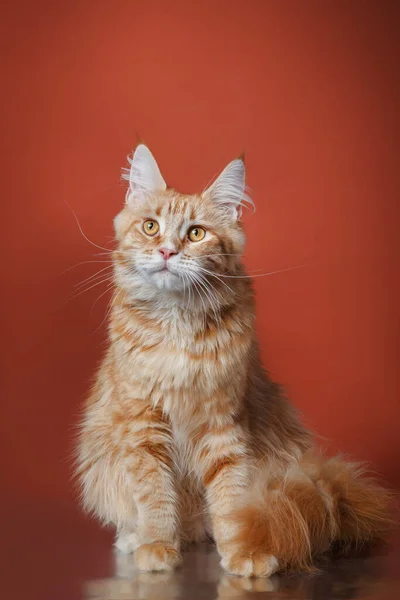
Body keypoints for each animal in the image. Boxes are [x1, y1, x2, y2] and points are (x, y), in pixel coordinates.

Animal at [76, 144, 392, 576]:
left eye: (196, 233)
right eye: (151, 227)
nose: (167, 251)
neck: (177, 324)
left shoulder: (222, 423)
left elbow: (231, 499)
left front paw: (243, 549)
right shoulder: (143, 424)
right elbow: (155, 495)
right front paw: (157, 544)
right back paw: (136, 537)